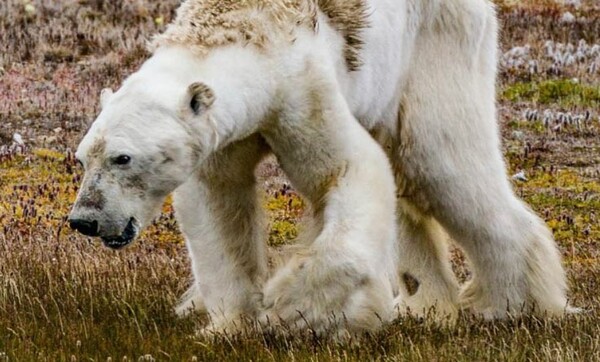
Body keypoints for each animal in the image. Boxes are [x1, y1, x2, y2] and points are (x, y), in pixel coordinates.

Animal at [69, 0, 572, 336]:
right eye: (83, 156)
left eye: (122, 157)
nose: (84, 220)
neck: (241, 27)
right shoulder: (221, 135)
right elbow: (217, 203)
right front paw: (230, 324)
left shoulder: (301, 88)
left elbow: (349, 170)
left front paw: (294, 307)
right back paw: (425, 304)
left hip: (435, 47)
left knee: (441, 162)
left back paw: (510, 305)